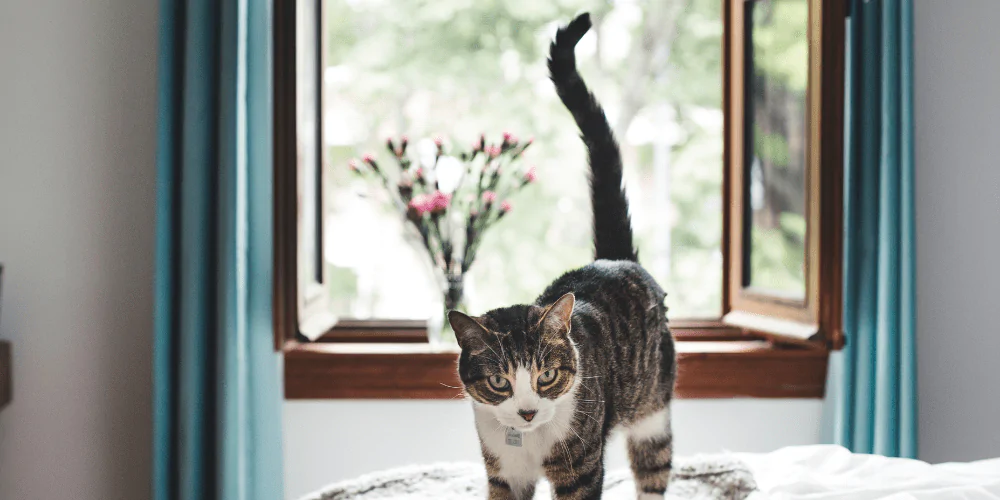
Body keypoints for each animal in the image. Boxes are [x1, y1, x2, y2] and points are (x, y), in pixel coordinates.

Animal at [448, 11, 676, 500]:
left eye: (547, 377)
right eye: (499, 382)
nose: (528, 412)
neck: (530, 439)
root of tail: (614, 258)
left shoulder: (581, 469)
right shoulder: (504, 469)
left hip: (652, 412)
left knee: (654, 467)